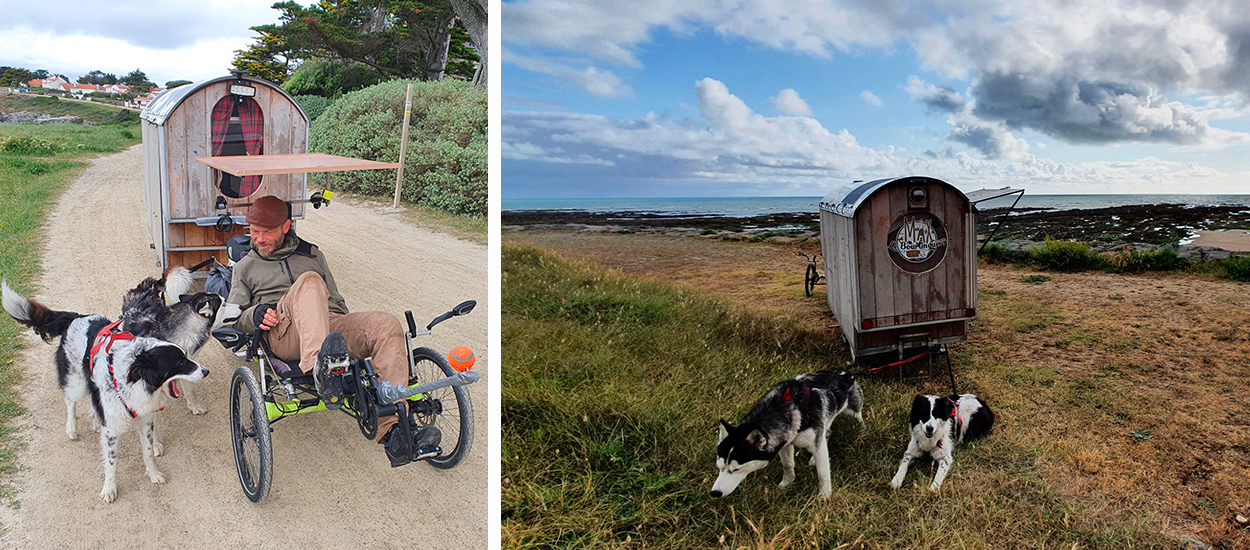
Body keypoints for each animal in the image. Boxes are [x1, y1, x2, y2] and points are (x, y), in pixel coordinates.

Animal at [1, 283, 211, 502]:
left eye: (186, 356)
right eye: (180, 363)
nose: (206, 371)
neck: (135, 380)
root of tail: (77, 317)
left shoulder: (145, 420)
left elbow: (147, 453)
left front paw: (154, 475)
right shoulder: (111, 431)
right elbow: (111, 463)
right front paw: (109, 489)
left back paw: (94, 420)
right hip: (76, 381)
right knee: (70, 401)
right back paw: (71, 428)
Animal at [710, 370, 865, 497]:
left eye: (737, 469)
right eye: (719, 467)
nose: (715, 493)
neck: (781, 407)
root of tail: (843, 373)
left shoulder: (815, 442)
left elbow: (822, 472)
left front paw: (824, 496)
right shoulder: (785, 441)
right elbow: (788, 465)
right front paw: (786, 483)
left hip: (852, 410)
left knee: (858, 418)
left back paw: (861, 430)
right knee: (827, 433)